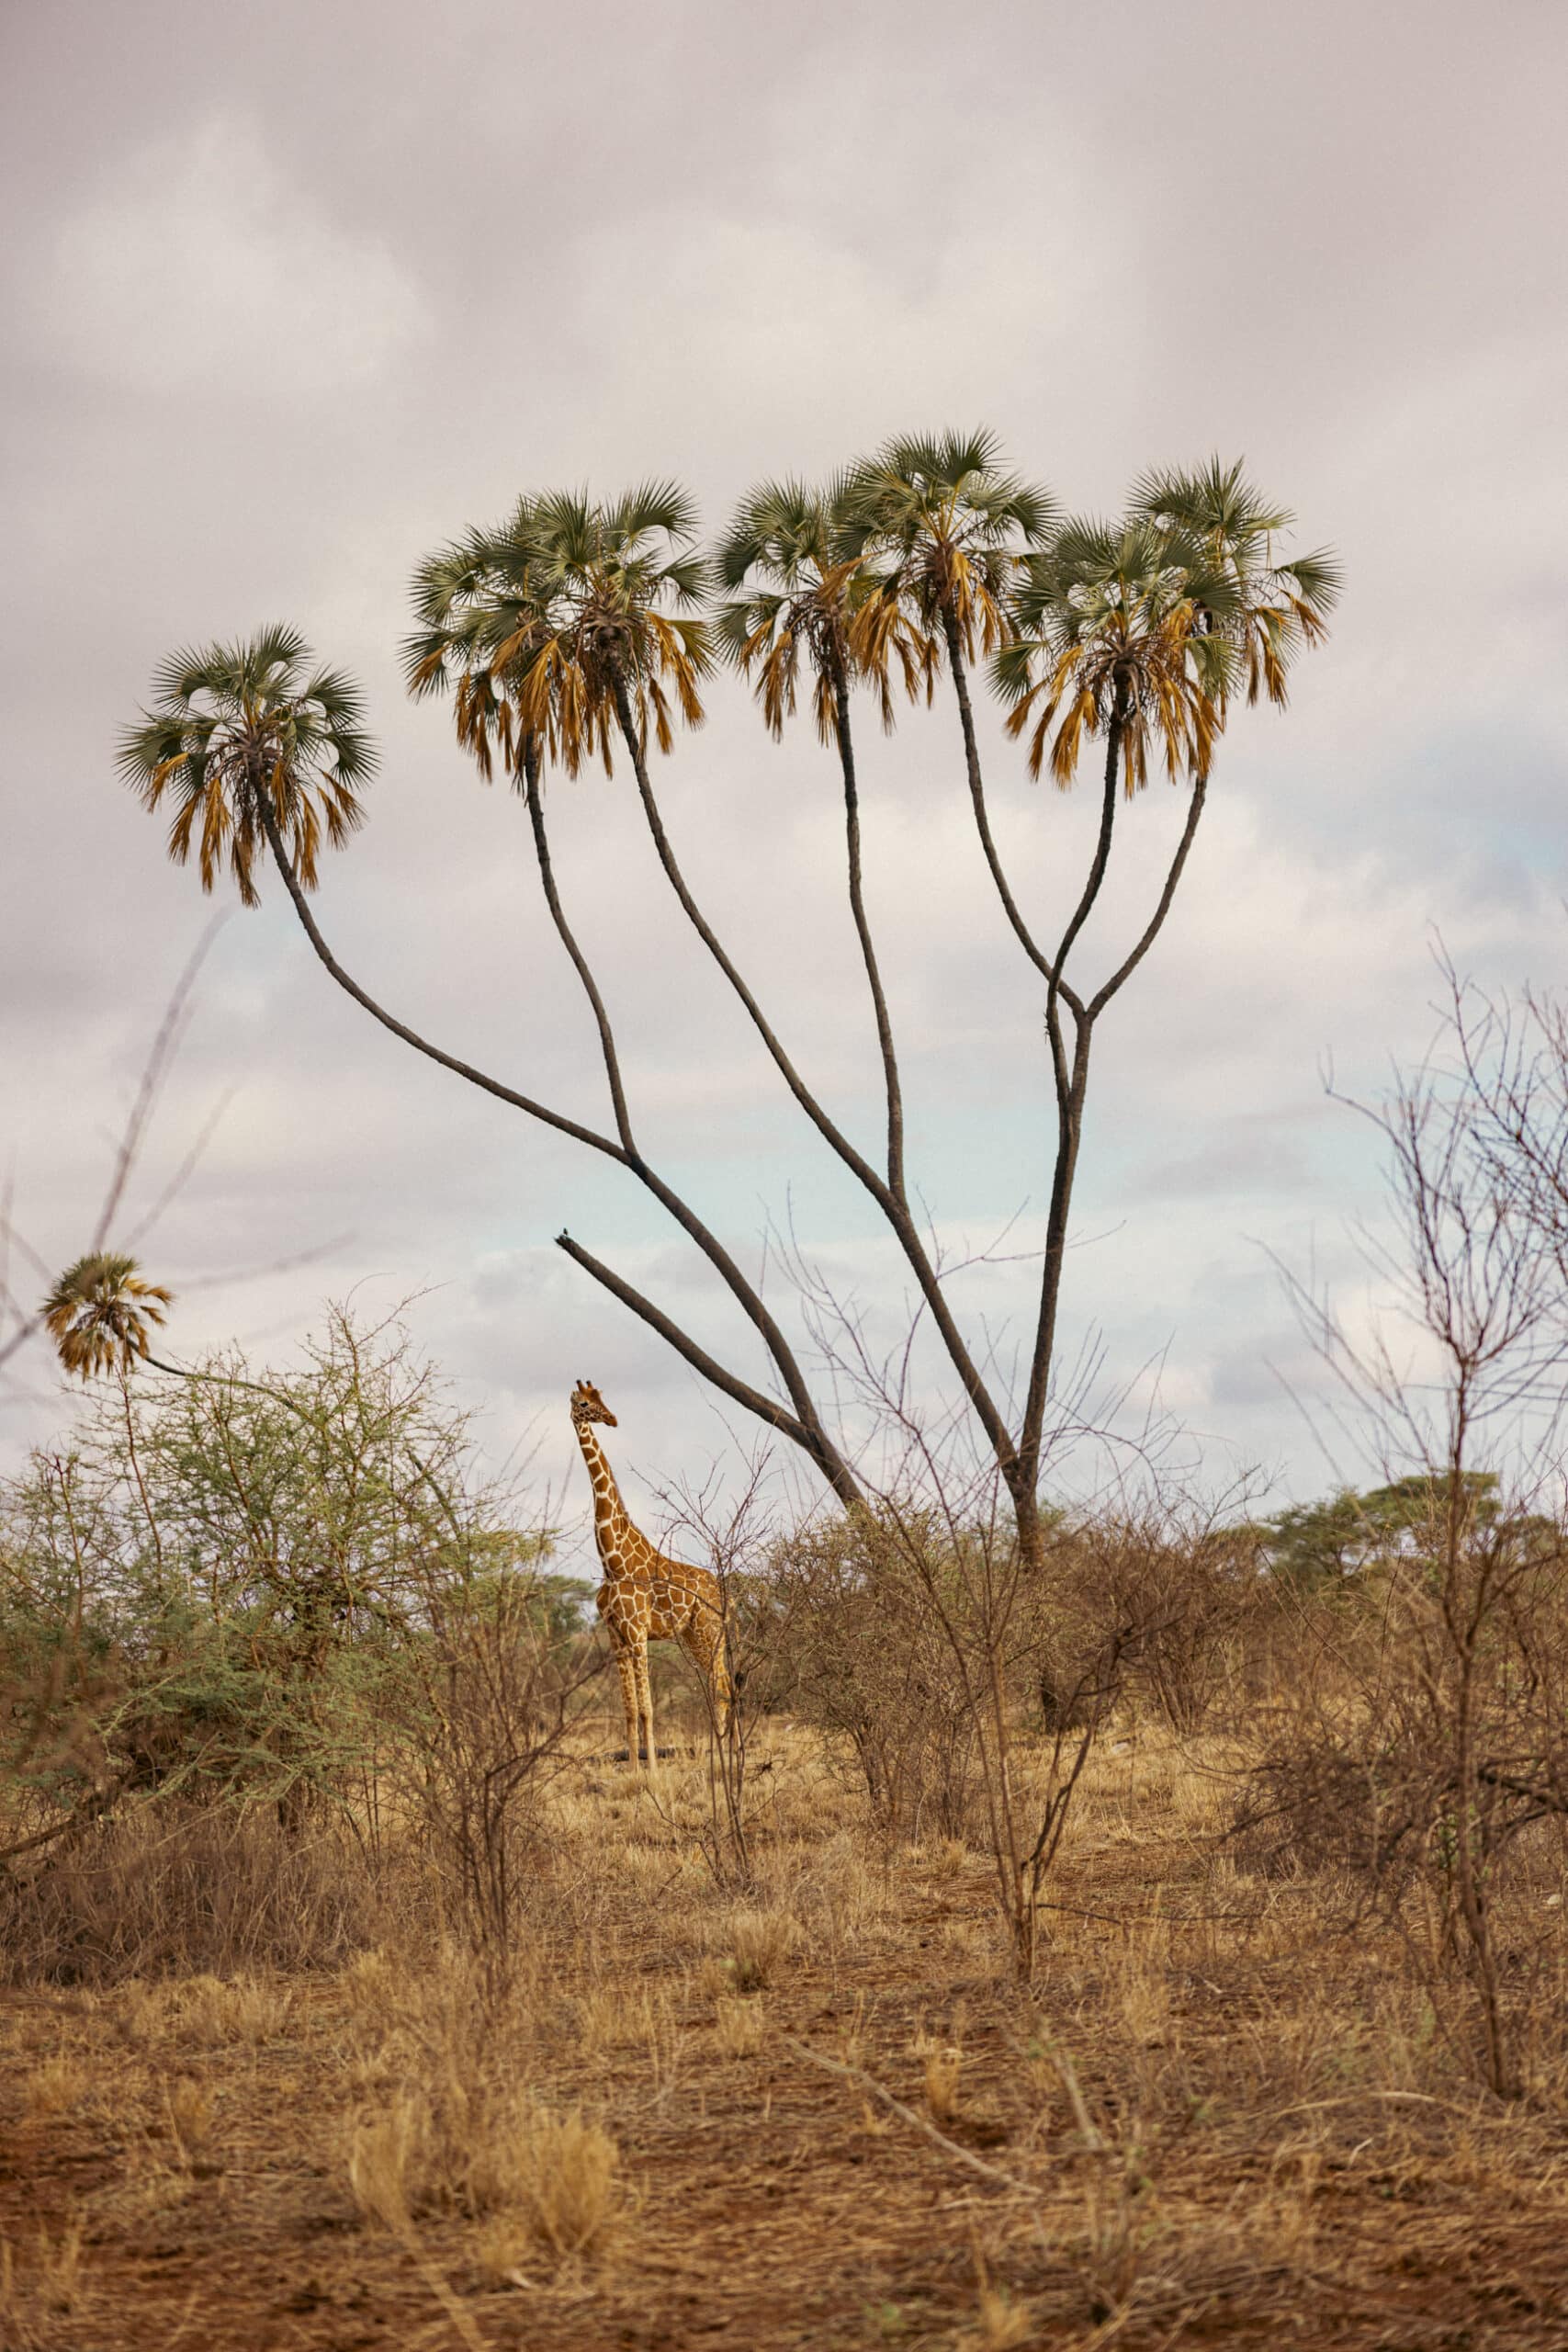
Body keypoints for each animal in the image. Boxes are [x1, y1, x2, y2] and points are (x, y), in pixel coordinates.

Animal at [566, 1374, 733, 1769]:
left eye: (601, 1397)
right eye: (585, 1403)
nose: (612, 1419)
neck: (612, 1561)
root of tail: (727, 1595)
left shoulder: (638, 1634)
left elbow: (647, 1709)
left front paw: (653, 1770)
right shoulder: (616, 1637)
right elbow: (629, 1710)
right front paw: (633, 1769)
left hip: (709, 1634)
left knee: (721, 1688)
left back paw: (723, 1759)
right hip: (694, 1636)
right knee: (722, 1687)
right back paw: (723, 1752)